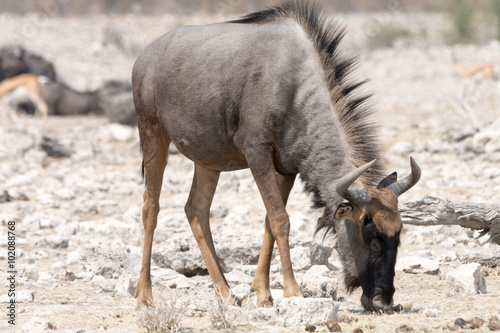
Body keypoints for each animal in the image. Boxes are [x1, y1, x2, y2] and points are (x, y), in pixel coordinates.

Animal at [131, 0, 420, 312]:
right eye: (371, 233)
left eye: (398, 235)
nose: (383, 300)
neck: (294, 84)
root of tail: (144, 58)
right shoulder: (257, 152)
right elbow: (281, 219)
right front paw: (293, 292)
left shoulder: (287, 168)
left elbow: (270, 221)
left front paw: (263, 293)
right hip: (152, 133)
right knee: (151, 208)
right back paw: (144, 295)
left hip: (208, 161)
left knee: (196, 210)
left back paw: (226, 293)